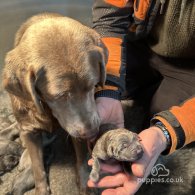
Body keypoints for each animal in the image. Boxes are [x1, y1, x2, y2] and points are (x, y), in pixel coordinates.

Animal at [2, 12, 106, 195]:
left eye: (92, 86)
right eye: (60, 96)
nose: (92, 131)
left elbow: (81, 159)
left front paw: (84, 184)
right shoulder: (29, 129)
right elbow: (37, 167)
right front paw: (41, 189)